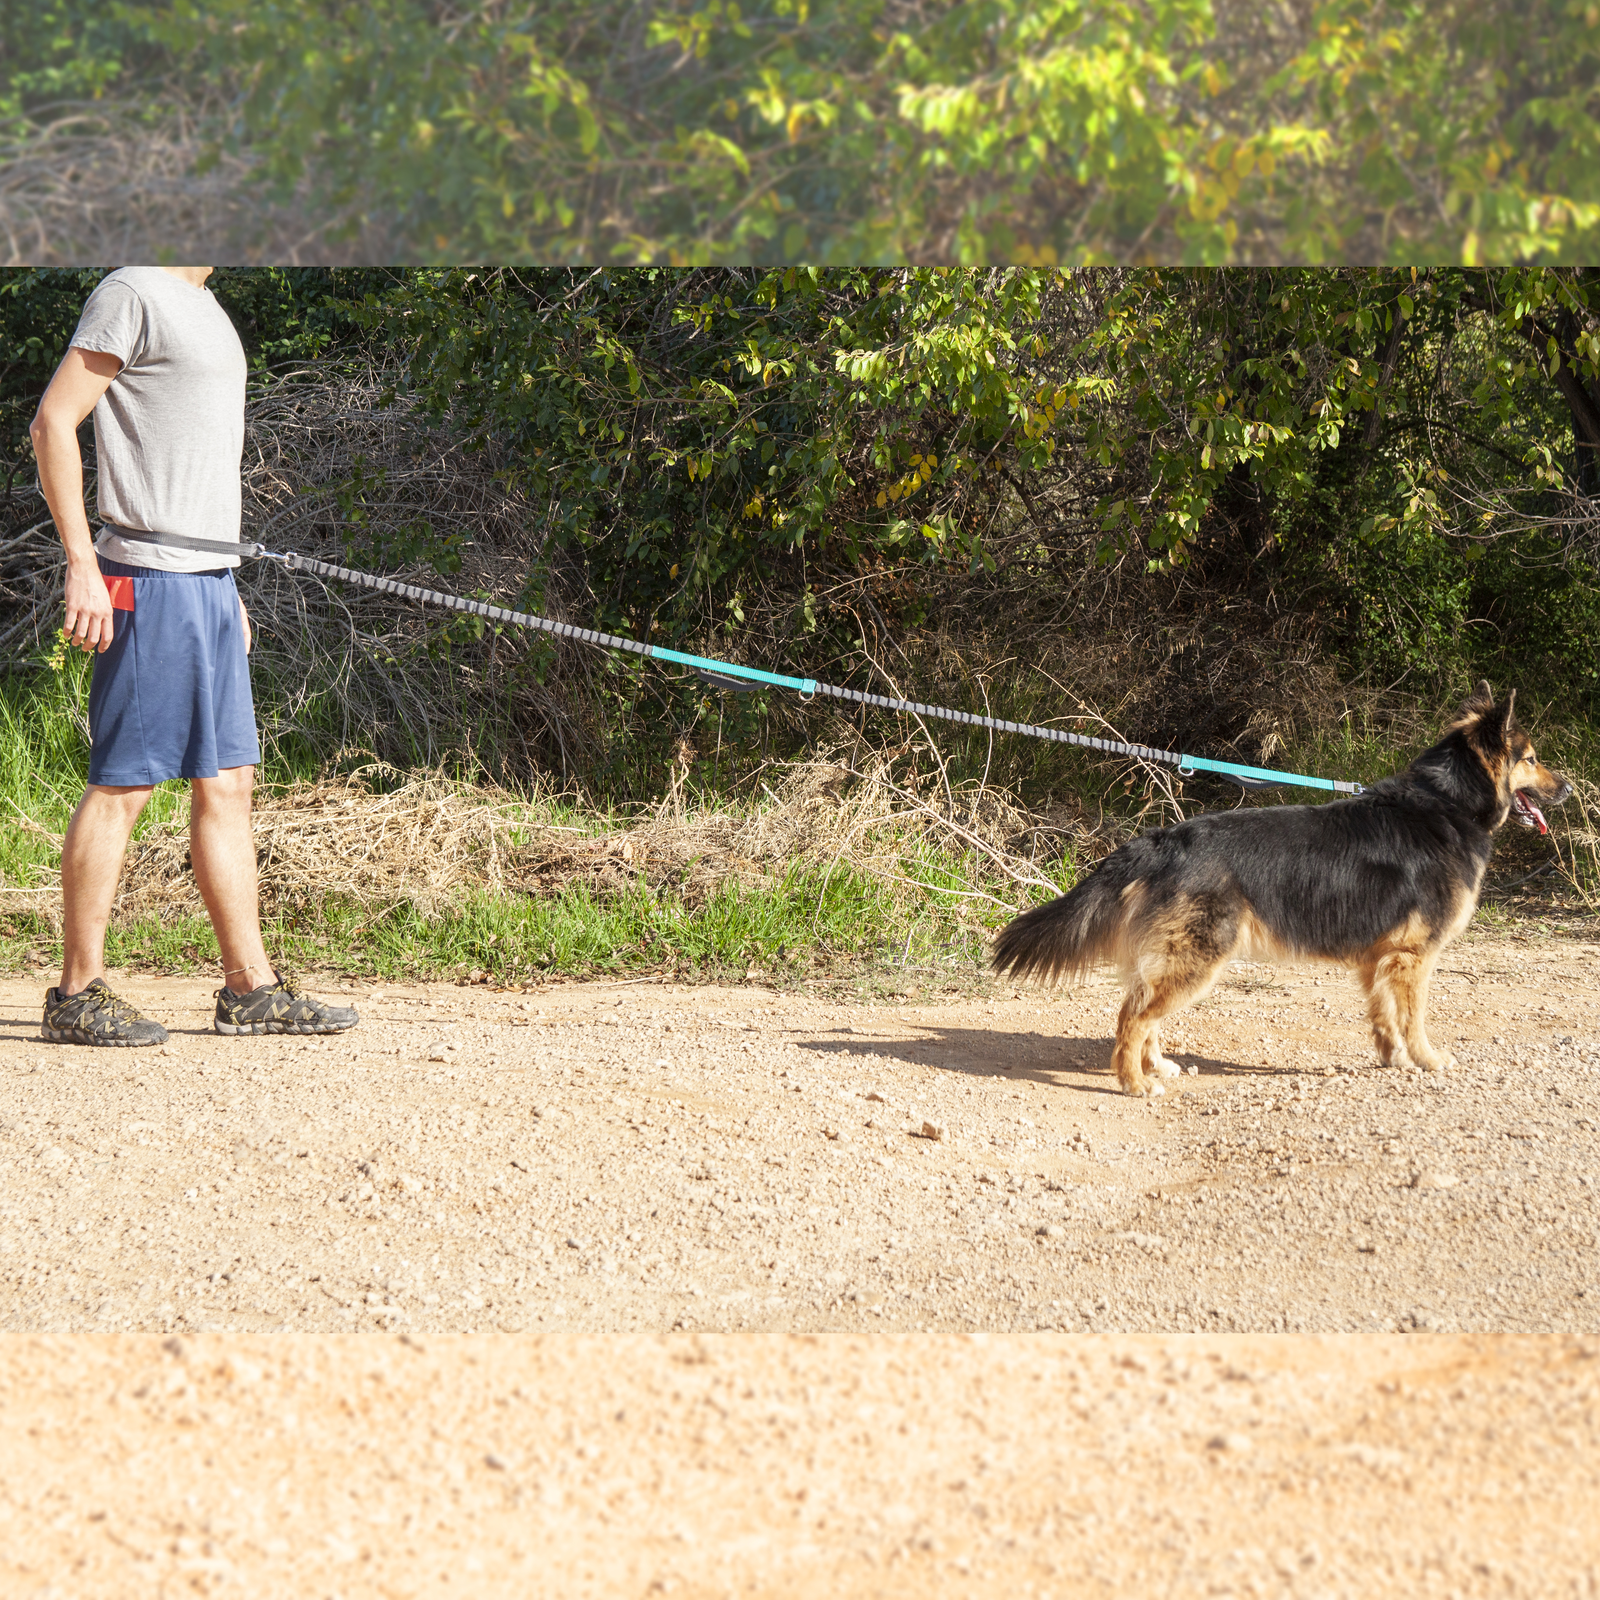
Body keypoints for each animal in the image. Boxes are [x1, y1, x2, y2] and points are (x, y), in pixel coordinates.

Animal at [992, 681, 1568, 1094]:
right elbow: (1413, 1018)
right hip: (1198, 959)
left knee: (1141, 1007)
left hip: (1177, 958)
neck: (1445, 802)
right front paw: (1426, 1059)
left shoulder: (1380, 958)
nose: (1569, 789)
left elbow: (1384, 1018)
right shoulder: (1413, 958)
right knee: (1132, 1017)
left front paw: (1394, 1061)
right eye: (1531, 759)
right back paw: (1134, 1083)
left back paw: (1155, 1067)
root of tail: (1163, 840)